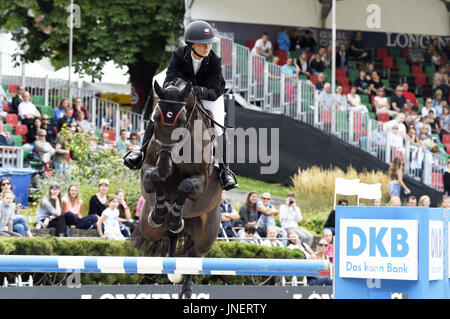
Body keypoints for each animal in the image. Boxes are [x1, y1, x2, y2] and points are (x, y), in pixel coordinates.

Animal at [132, 79, 223, 298]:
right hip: (148, 228)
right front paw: (160, 211)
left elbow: (185, 186)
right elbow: (154, 177)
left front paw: (174, 215)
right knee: (168, 236)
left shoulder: (201, 181)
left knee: (195, 254)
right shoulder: (148, 168)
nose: (166, 163)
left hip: (207, 232)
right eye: (155, 118)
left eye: (181, 122)